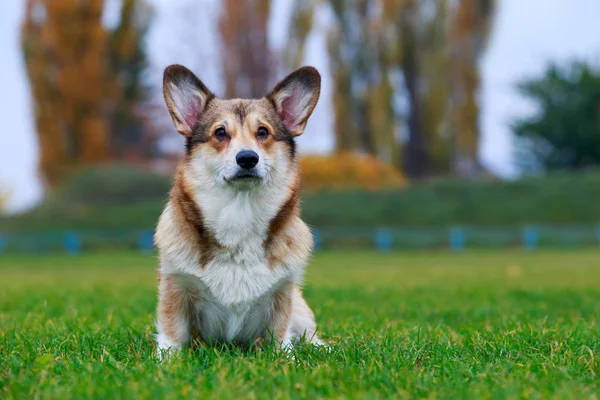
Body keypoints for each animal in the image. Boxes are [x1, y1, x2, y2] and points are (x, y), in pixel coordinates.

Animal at [155, 64, 324, 358]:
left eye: (263, 132)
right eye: (220, 132)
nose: (247, 158)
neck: (239, 212)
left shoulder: (282, 294)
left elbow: (281, 337)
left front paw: (288, 359)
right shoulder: (175, 285)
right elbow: (171, 335)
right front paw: (167, 362)